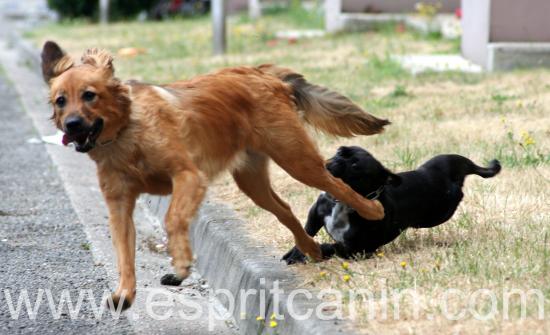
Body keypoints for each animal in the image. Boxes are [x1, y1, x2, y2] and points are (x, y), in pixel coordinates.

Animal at [41, 40, 390, 312]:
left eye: (89, 95)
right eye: (61, 101)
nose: (71, 124)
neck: (127, 133)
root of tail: (261, 73)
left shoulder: (188, 176)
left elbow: (173, 220)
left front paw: (182, 263)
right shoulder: (119, 207)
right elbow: (124, 254)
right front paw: (125, 293)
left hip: (297, 160)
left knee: (336, 186)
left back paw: (373, 210)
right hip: (252, 182)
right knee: (286, 211)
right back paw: (311, 250)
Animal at [282, 147, 502, 266]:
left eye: (355, 166)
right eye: (339, 151)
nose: (330, 162)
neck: (344, 201)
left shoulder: (357, 248)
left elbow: (331, 246)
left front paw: (314, 251)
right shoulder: (316, 214)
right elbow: (306, 233)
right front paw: (295, 253)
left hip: (438, 213)